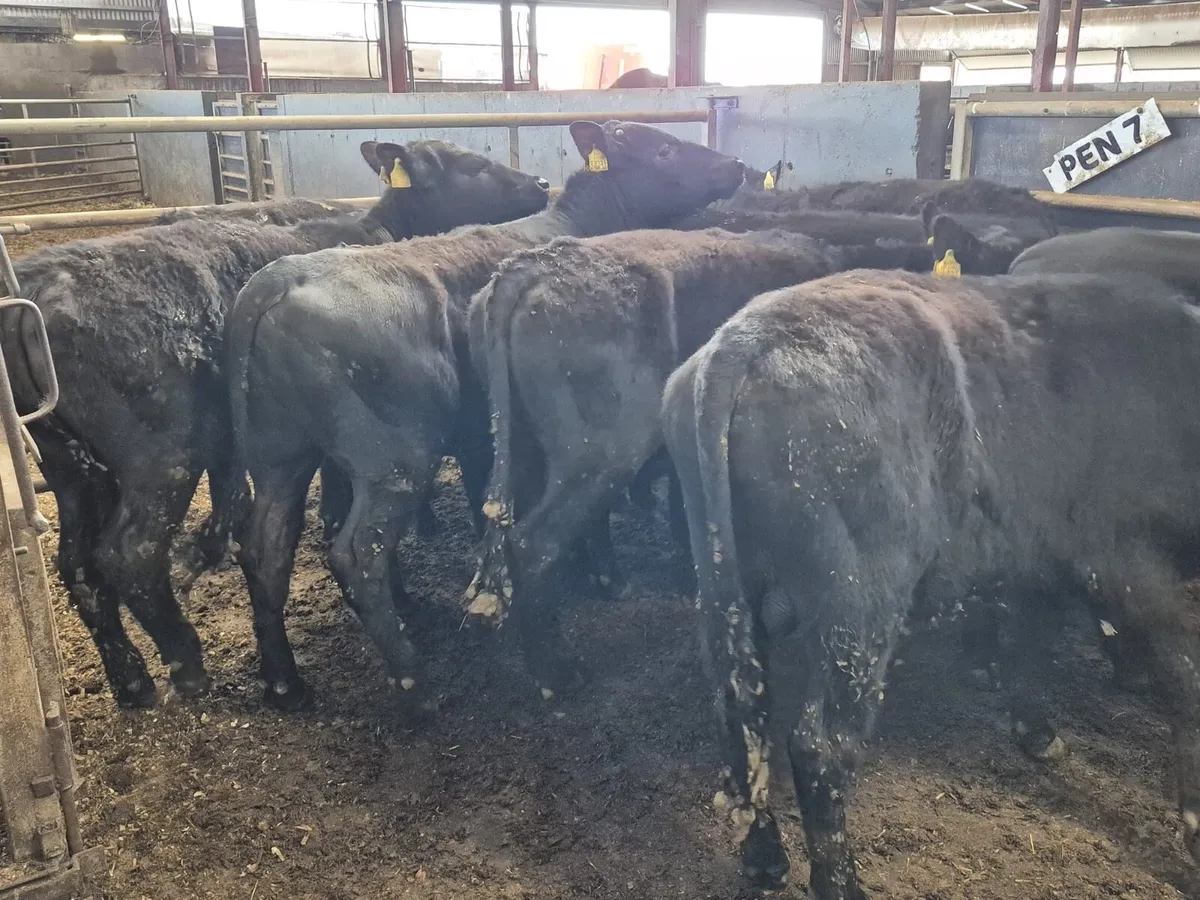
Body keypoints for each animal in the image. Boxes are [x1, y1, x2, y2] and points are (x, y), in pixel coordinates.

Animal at [7, 139, 550, 709]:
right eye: (472, 163)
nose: (539, 183)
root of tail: (36, 286)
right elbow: (341, 518)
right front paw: (399, 595)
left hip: (71, 469)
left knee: (78, 563)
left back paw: (135, 680)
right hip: (162, 458)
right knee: (129, 552)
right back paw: (187, 663)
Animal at [223, 120, 747, 713]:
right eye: (663, 148)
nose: (734, 164)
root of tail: (275, 282)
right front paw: (601, 579)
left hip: (279, 456)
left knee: (265, 548)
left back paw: (285, 682)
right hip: (394, 461)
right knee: (357, 553)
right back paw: (416, 685)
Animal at [661, 267, 1200, 896]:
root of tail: (744, 341)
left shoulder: (1041, 557)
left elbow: (1033, 641)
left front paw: (1035, 731)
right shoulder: (1126, 564)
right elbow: (1185, 679)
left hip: (727, 596)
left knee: (741, 718)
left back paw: (765, 856)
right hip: (859, 610)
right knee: (820, 745)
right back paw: (840, 881)